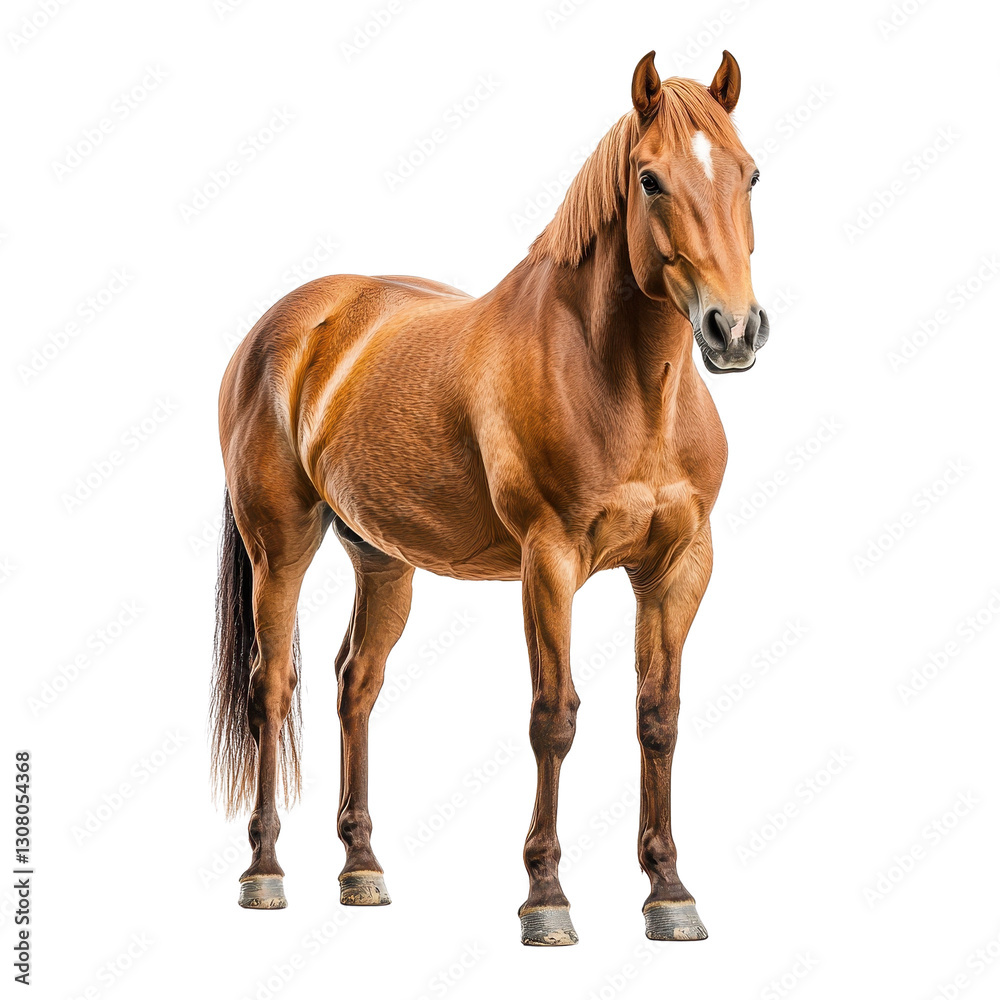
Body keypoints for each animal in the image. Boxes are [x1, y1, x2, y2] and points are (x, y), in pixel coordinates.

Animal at [211, 49, 768, 946]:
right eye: (650, 179)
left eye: (750, 174)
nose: (735, 330)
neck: (623, 384)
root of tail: (293, 321)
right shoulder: (550, 562)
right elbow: (554, 717)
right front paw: (546, 898)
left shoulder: (679, 567)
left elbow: (659, 717)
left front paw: (669, 891)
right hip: (279, 548)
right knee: (273, 687)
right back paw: (264, 871)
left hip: (383, 562)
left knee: (354, 682)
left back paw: (361, 868)